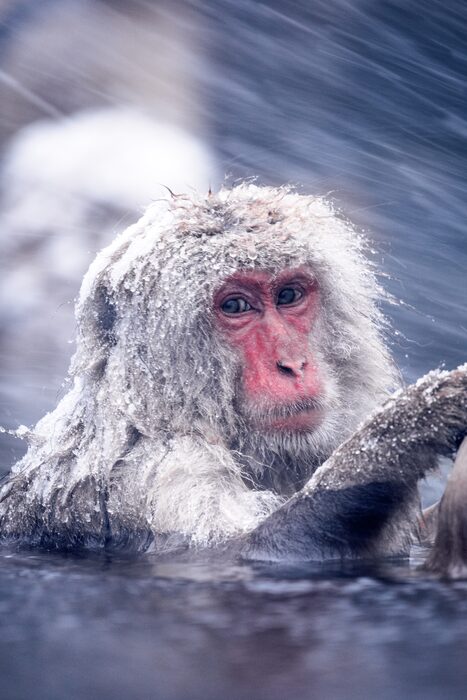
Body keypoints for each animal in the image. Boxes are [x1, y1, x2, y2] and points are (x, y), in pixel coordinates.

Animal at [0, 184, 465, 575]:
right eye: (237, 306)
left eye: (289, 296)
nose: (293, 364)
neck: (160, 414)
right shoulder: (156, 472)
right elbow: (243, 551)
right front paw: (409, 424)